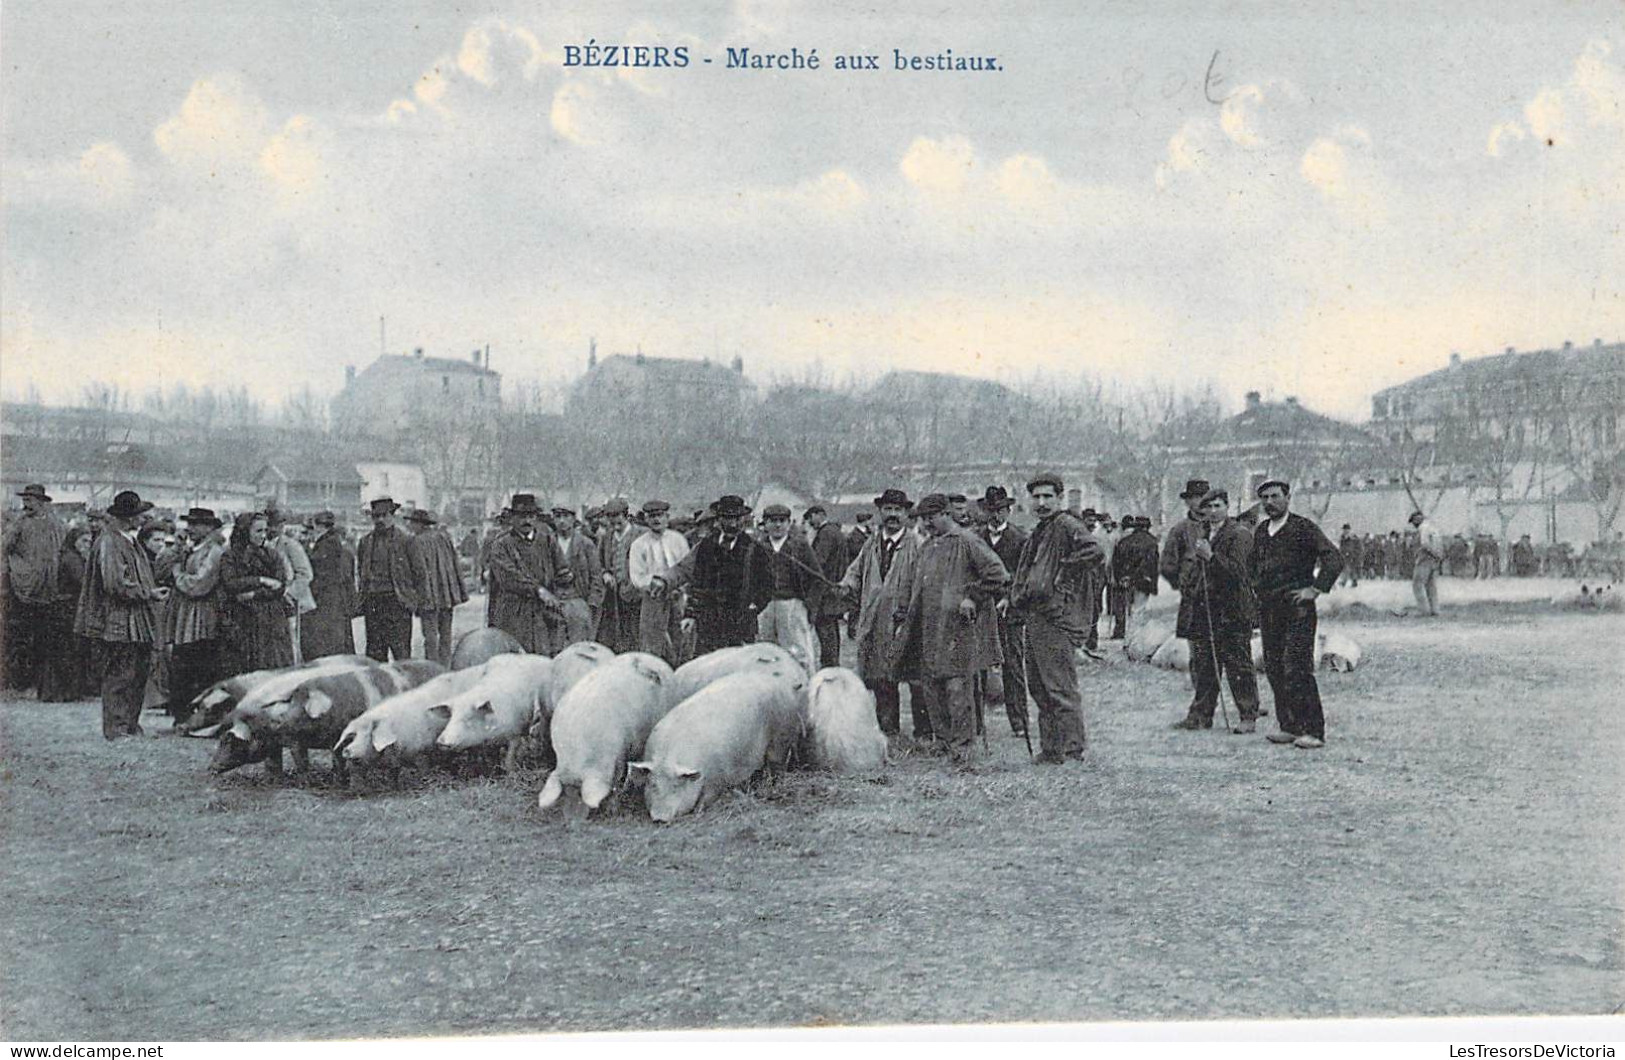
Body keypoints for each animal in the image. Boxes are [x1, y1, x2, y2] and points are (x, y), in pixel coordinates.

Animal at [542, 650, 676, 816]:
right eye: (565, 793)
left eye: (580, 794)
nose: (572, 820)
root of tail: (655, 659)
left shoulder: (620, 751)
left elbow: (617, 780)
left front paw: (612, 810)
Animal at [627, 666, 806, 822]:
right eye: (653, 785)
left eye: (676, 786)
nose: (659, 818)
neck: (669, 759)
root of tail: (783, 685)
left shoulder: (716, 776)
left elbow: (708, 796)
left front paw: (698, 812)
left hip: (781, 736)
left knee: (777, 764)